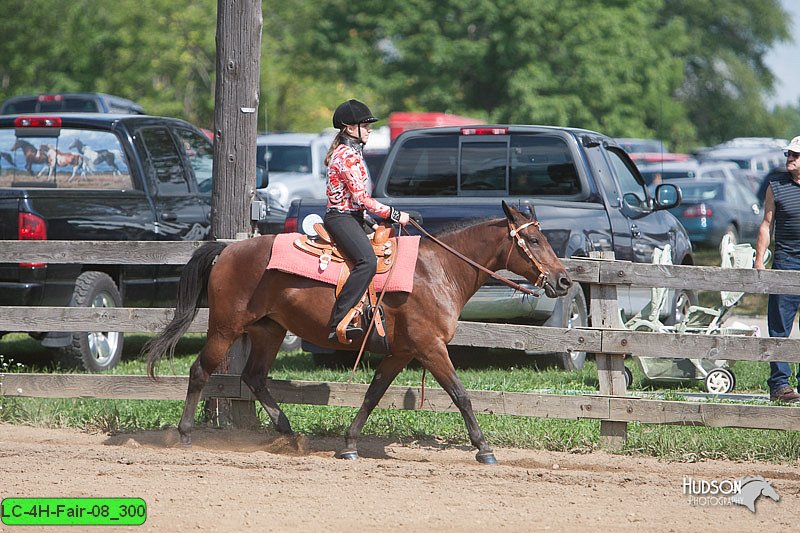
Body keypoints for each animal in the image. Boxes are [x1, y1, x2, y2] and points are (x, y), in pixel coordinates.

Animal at [144, 200, 568, 462]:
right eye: (533, 239)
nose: (563, 281)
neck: (437, 270)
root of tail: (228, 250)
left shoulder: (401, 352)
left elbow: (373, 393)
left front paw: (349, 444)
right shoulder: (430, 348)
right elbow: (461, 396)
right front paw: (484, 449)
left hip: (269, 330)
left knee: (255, 377)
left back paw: (290, 434)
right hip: (225, 327)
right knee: (200, 371)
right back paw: (185, 435)